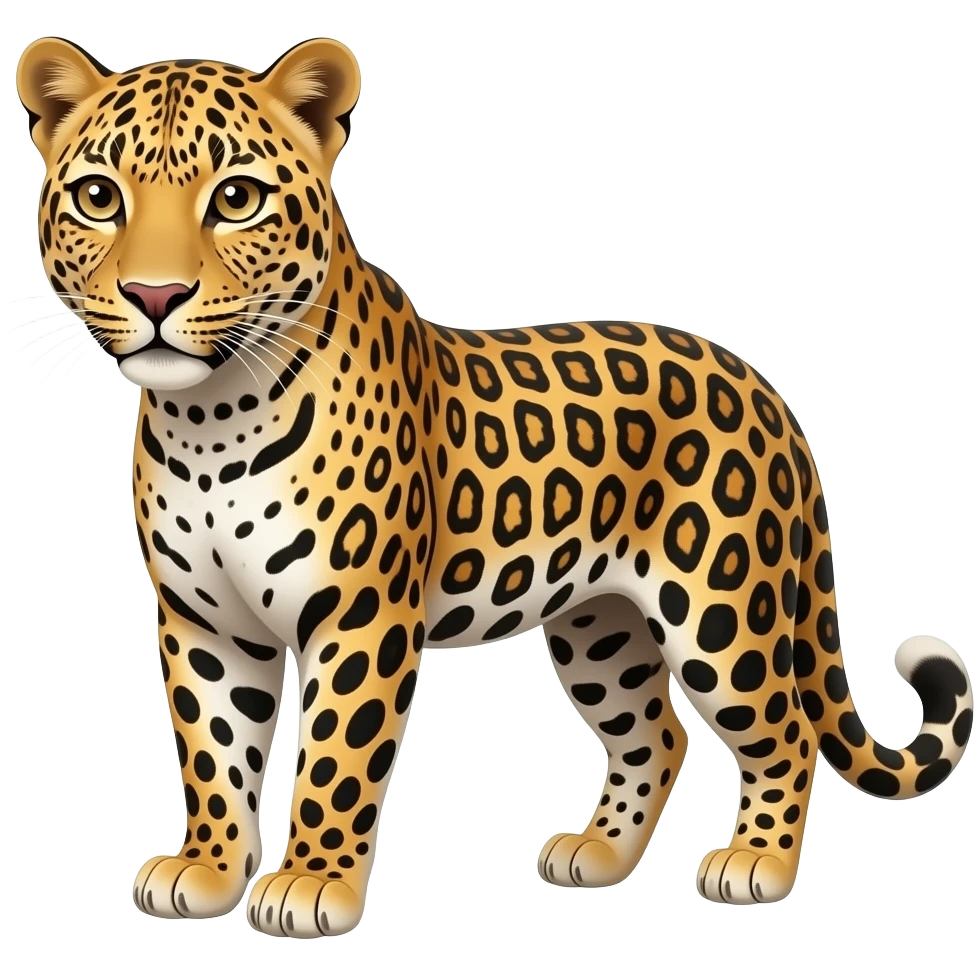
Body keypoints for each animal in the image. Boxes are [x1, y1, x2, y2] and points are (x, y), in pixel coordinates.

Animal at [16, 35, 973, 937]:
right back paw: (598, 853)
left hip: (721, 611)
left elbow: (335, 756)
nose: (155, 295)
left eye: (236, 198)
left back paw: (755, 864)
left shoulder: (360, 613)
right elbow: (214, 750)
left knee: (784, 732)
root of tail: (763, 387)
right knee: (655, 735)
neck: (212, 419)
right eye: (99, 198)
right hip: (598, 625)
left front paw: (312, 884)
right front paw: (210, 870)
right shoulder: (204, 618)